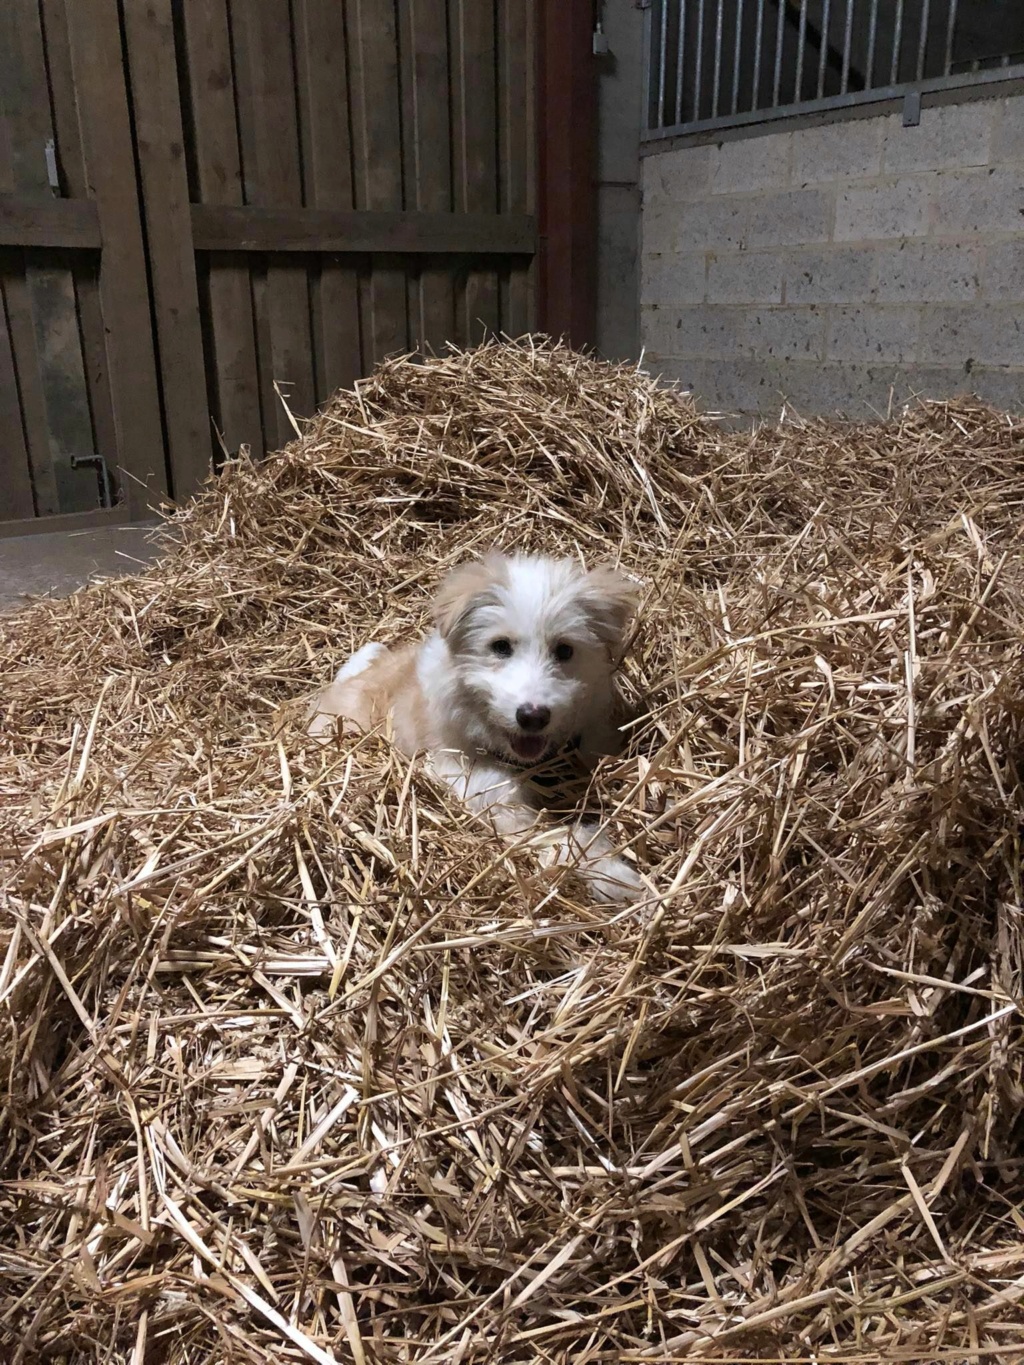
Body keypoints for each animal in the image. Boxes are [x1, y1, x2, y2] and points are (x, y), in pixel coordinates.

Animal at [307, 548, 641, 900]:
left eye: (564, 650)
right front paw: (617, 879)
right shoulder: (487, 793)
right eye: (500, 646)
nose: (532, 716)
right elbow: (559, 840)